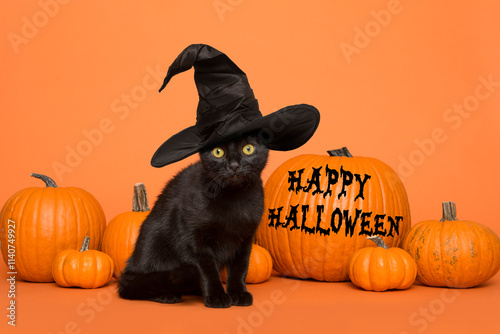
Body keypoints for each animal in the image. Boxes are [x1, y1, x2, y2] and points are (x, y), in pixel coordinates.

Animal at [118, 132, 270, 308]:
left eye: (248, 149)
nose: (233, 166)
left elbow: (240, 268)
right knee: (134, 285)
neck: (233, 198)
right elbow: (208, 269)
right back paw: (167, 294)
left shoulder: (245, 239)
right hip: (154, 240)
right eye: (218, 152)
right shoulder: (192, 239)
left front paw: (238, 293)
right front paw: (217, 296)